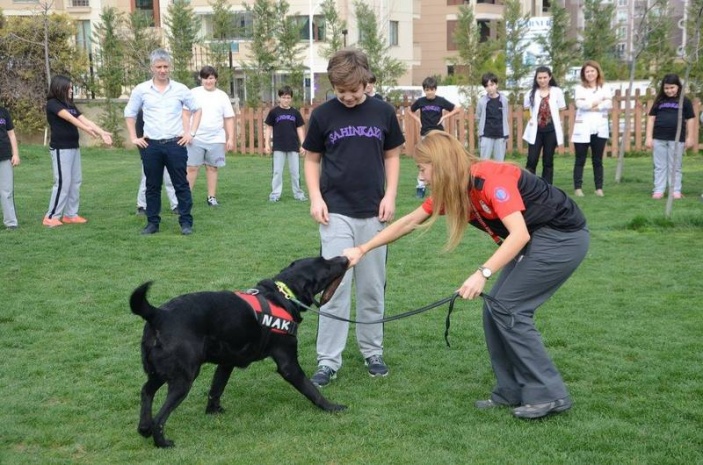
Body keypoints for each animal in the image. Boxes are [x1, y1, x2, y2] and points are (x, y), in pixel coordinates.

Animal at [129, 256, 350, 448]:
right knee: (160, 417)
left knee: (146, 391)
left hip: (160, 372)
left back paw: (144, 428)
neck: (282, 295)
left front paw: (213, 412)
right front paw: (331, 407)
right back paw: (162, 442)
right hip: (184, 377)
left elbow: (216, 389)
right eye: (326, 265)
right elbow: (311, 390)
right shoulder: (288, 364)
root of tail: (158, 314)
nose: (344, 258)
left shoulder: (226, 363)